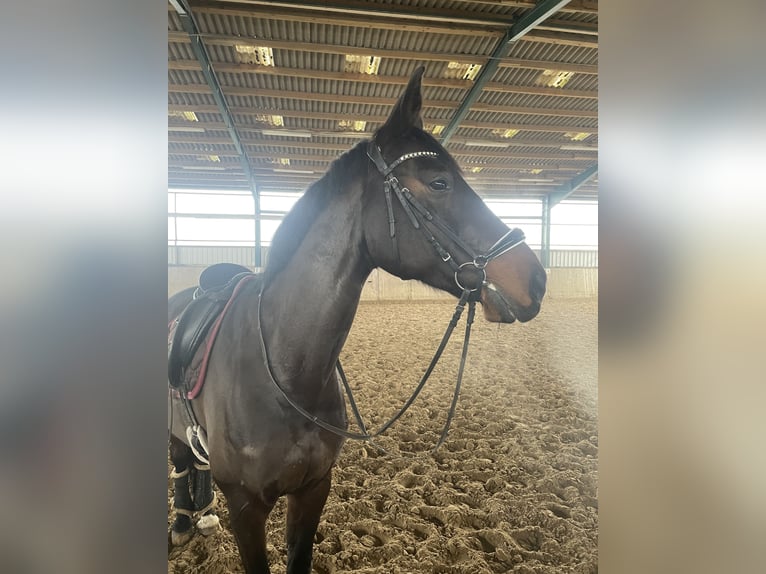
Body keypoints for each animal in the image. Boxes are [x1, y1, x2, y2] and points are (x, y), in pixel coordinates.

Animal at [167, 66, 546, 573]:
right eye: (439, 182)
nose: (536, 279)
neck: (285, 370)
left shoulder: (313, 490)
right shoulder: (247, 508)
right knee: (181, 460)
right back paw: (183, 523)